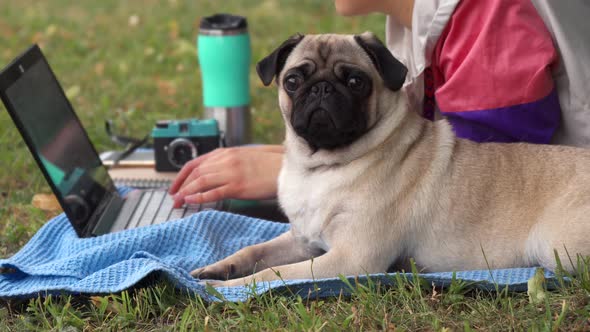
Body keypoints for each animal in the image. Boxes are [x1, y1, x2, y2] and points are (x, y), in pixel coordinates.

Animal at [193, 34, 590, 288]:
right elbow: (253, 250)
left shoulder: (351, 258)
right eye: (293, 81)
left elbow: (270, 275)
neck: (321, 167)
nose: (321, 88)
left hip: (556, 247)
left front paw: (230, 289)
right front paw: (217, 271)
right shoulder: (302, 241)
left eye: (356, 82)